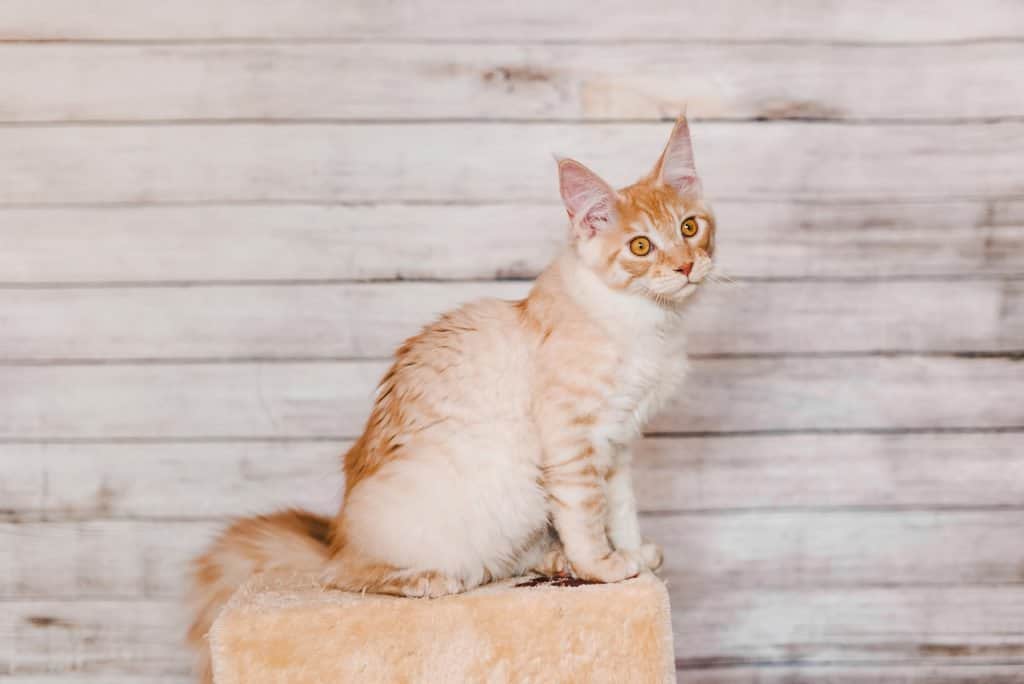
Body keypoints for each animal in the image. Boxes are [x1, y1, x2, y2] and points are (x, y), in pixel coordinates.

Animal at [190, 116, 720, 679]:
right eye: (641, 247)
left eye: (690, 228)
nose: (686, 267)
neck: (646, 323)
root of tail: (335, 535)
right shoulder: (570, 438)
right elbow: (586, 512)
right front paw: (602, 565)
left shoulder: (617, 444)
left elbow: (620, 509)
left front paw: (633, 554)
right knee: (345, 575)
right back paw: (429, 579)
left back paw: (553, 562)